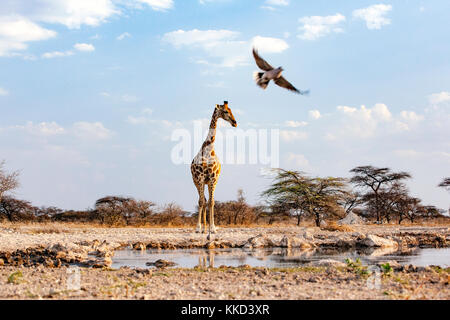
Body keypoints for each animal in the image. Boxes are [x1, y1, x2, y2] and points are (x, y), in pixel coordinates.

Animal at [191, 100, 237, 238]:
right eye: (226, 111)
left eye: (231, 110)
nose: (235, 122)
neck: (208, 150)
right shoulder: (200, 179)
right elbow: (201, 202)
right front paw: (198, 228)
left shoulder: (212, 179)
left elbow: (212, 202)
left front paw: (212, 229)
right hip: (196, 182)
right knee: (202, 200)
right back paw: (202, 228)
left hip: (210, 182)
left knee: (207, 201)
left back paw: (206, 228)